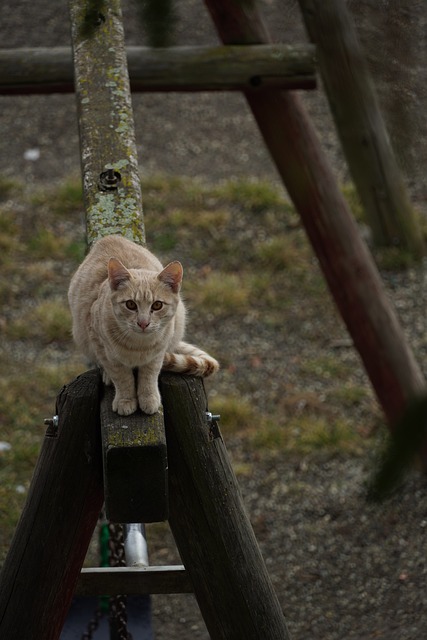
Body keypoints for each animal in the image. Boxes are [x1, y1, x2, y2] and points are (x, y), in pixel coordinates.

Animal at [69, 235, 221, 416]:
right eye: (130, 304)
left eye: (157, 305)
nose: (143, 322)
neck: (139, 346)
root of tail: (110, 237)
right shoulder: (99, 343)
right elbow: (121, 376)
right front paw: (126, 399)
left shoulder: (157, 353)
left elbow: (149, 375)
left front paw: (149, 398)